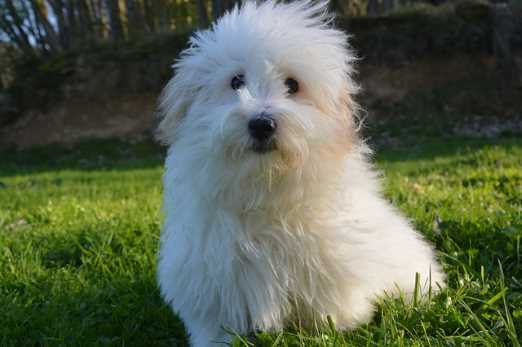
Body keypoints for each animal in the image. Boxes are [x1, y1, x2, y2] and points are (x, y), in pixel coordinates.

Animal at [154, 1, 442, 346]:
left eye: (292, 85)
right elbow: (216, 322)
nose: (261, 124)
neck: (263, 187)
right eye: (236, 81)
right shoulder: (211, 270)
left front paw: (332, 328)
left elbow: (329, 307)